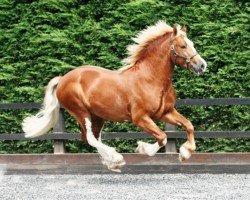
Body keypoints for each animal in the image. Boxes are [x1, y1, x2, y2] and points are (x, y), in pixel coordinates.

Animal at [22, 21, 207, 172]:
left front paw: (185, 152)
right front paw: (142, 148)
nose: (202, 65)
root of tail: (62, 79)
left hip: (97, 116)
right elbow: (162, 137)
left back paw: (112, 162)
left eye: (192, 44)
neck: (150, 79)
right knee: (90, 138)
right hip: (81, 112)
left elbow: (189, 125)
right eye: (183, 46)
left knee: (91, 138)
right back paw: (115, 158)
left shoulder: (165, 113)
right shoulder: (140, 118)